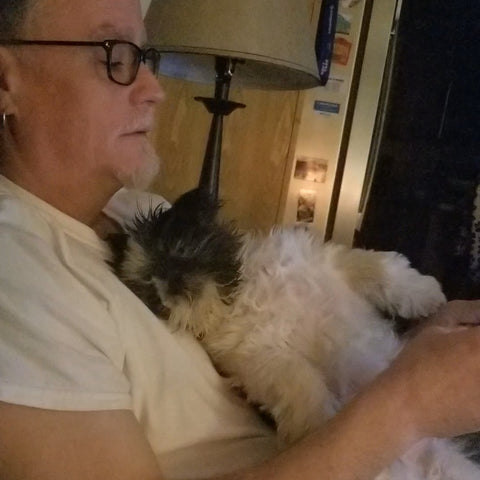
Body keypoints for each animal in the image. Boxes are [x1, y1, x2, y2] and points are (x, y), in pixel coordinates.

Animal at [107, 189, 480, 478]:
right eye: (153, 296)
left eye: (179, 248)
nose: (170, 284)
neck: (243, 292)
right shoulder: (262, 358)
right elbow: (301, 384)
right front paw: (318, 425)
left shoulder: (324, 260)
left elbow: (379, 268)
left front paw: (425, 293)